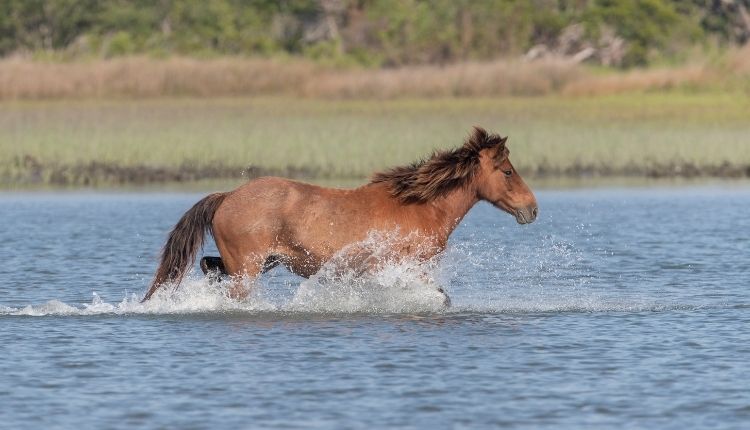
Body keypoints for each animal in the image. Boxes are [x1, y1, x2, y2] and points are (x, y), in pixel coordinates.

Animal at [142, 127, 540, 302]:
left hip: (259, 262)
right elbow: (440, 296)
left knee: (209, 267)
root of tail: (227, 196)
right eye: (507, 171)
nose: (532, 208)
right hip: (248, 267)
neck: (421, 205)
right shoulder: (404, 267)